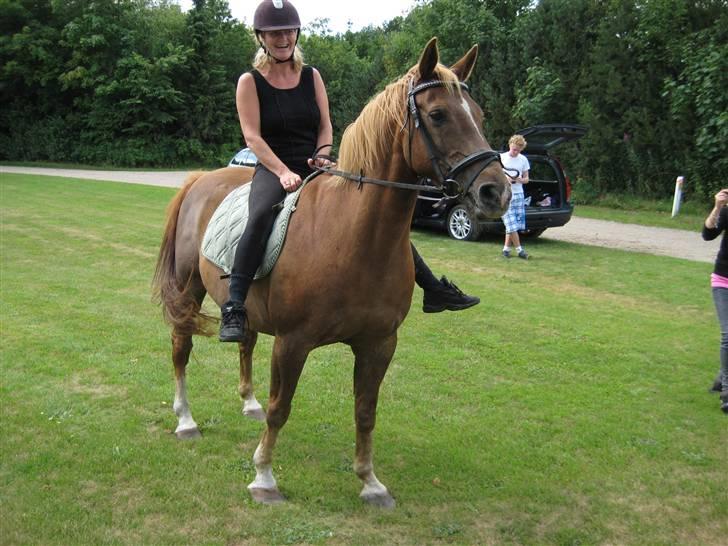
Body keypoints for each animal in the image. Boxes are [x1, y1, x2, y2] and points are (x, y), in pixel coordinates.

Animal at [151, 38, 510, 506]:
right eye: (438, 115)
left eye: (479, 115)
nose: (496, 192)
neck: (354, 240)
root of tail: (200, 180)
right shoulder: (292, 343)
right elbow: (281, 408)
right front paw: (264, 477)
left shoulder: (379, 344)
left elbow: (365, 411)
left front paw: (370, 481)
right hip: (188, 289)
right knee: (181, 347)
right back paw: (186, 421)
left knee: (244, 340)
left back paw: (247, 403)